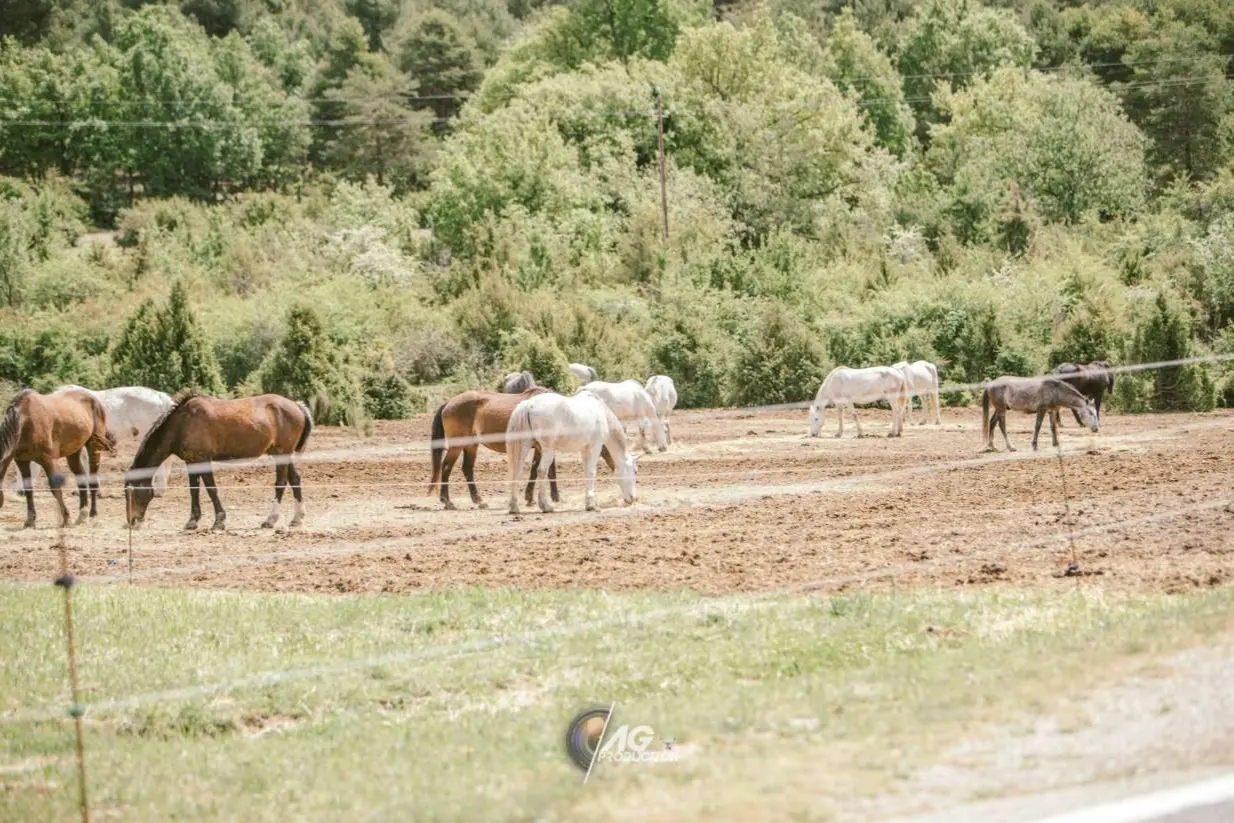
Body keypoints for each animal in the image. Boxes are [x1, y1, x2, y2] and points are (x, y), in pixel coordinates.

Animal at [0, 388, 116, 528]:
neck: (24, 421)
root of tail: (94, 399)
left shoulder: (48, 460)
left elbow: (55, 488)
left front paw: (66, 519)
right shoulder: (22, 461)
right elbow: (28, 489)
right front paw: (30, 521)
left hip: (94, 447)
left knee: (93, 480)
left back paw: (93, 514)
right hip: (74, 452)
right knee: (82, 480)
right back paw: (82, 515)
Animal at [124, 391, 312, 531]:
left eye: (131, 492)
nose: (132, 521)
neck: (182, 423)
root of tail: (296, 405)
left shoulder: (203, 460)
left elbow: (211, 489)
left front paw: (219, 521)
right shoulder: (192, 462)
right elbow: (194, 490)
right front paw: (192, 521)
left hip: (281, 454)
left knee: (280, 483)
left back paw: (270, 520)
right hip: (284, 454)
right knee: (294, 479)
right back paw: (297, 518)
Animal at [429, 387, 616, 510]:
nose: (616, 467)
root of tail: (449, 403)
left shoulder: (542, 448)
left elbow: (542, 471)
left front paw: (538, 497)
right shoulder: (542, 447)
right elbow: (543, 471)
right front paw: (542, 498)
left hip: (471, 445)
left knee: (467, 469)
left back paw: (479, 500)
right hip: (457, 445)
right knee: (446, 467)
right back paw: (447, 501)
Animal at [506, 391, 639, 514]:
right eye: (635, 471)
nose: (632, 499)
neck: (603, 413)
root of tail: (529, 404)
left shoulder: (585, 451)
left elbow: (587, 473)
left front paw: (590, 502)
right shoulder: (595, 447)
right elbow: (592, 473)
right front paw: (592, 505)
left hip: (525, 445)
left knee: (517, 472)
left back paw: (514, 507)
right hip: (548, 450)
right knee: (542, 471)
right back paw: (546, 506)